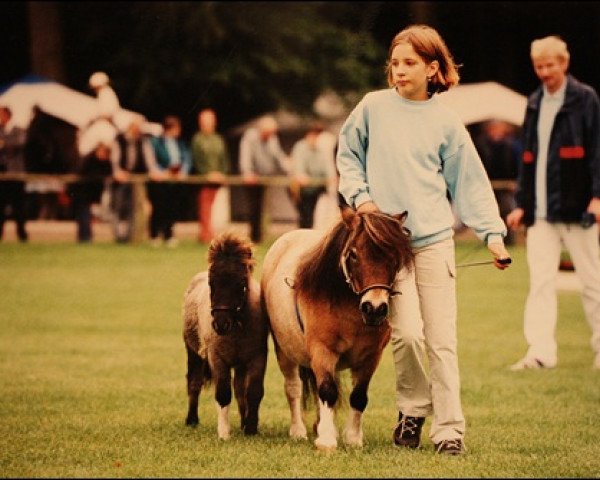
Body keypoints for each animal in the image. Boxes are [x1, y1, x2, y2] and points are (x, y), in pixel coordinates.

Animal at [182, 232, 268, 438]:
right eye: (211, 283)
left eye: (241, 283)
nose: (221, 324)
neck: (237, 329)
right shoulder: (217, 358)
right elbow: (222, 393)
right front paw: (224, 433)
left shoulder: (257, 357)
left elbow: (253, 392)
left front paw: (250, 428)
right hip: (193, 353)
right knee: (194, 382)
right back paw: (192, 420)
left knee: (239, 389)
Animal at [262, 205, 412, 450]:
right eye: (353, 254)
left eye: (394, 257)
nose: (375, 308)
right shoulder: (322, 351)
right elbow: (327, 391)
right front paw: (326, 440)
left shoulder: (371, 357)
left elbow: (359, 396)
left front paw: (352, 438)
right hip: (284, 350)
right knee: (293, 388)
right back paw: (298, 430)